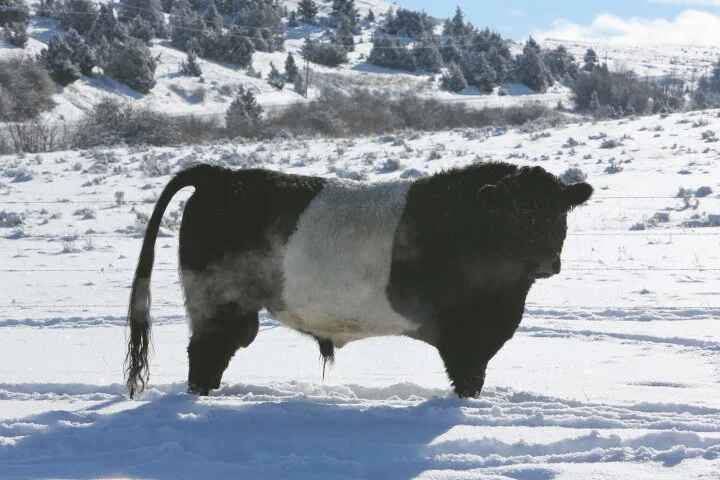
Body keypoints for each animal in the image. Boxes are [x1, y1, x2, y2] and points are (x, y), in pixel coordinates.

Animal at [125, 162, 593, 399]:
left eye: (558, 212)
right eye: (516, 212)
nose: (545, 259)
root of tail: (221, 175)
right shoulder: (465, 336)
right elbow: (468, 380)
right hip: (221, 301)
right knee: (205, 354)